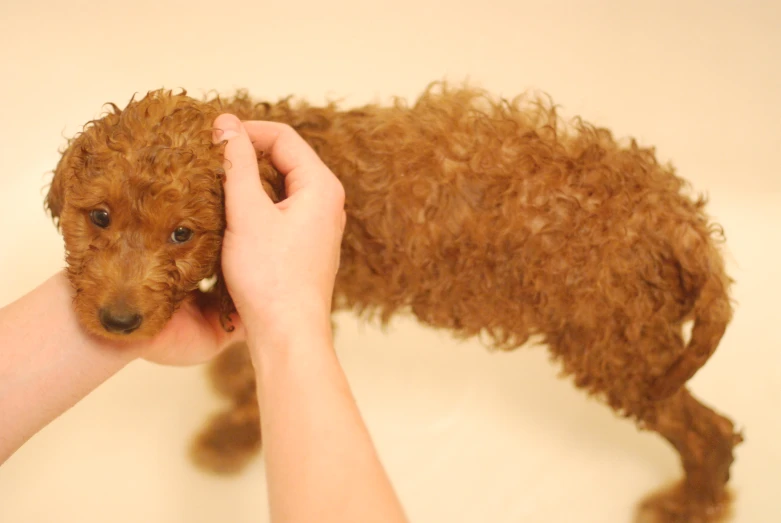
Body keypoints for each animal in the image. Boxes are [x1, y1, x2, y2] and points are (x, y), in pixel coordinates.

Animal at [45, 84, 740, 520]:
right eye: (99, 217)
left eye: (182, 234)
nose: (119, 320)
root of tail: (680, 219)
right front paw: (230, 373)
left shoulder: (305, 294)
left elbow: (258, 393)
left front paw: (230, 440)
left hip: (615, 346)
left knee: (711, 433)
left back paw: (688, 508)